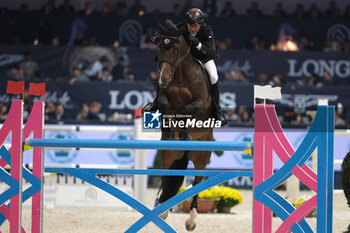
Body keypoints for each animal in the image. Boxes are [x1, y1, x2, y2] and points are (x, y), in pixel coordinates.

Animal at [154, 20, 215, 231]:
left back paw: (191, 220)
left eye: (175, 48)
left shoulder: (200, 104)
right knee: (166, 177)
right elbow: (163, 104)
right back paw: (163, 209)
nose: (162, 79)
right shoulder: (164, 98)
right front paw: (169, 130)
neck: (180, 75)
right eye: (159, 47)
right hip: (169, 155)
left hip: (201, 156)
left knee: (197, 182)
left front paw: (184, 132)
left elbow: (189, 109)